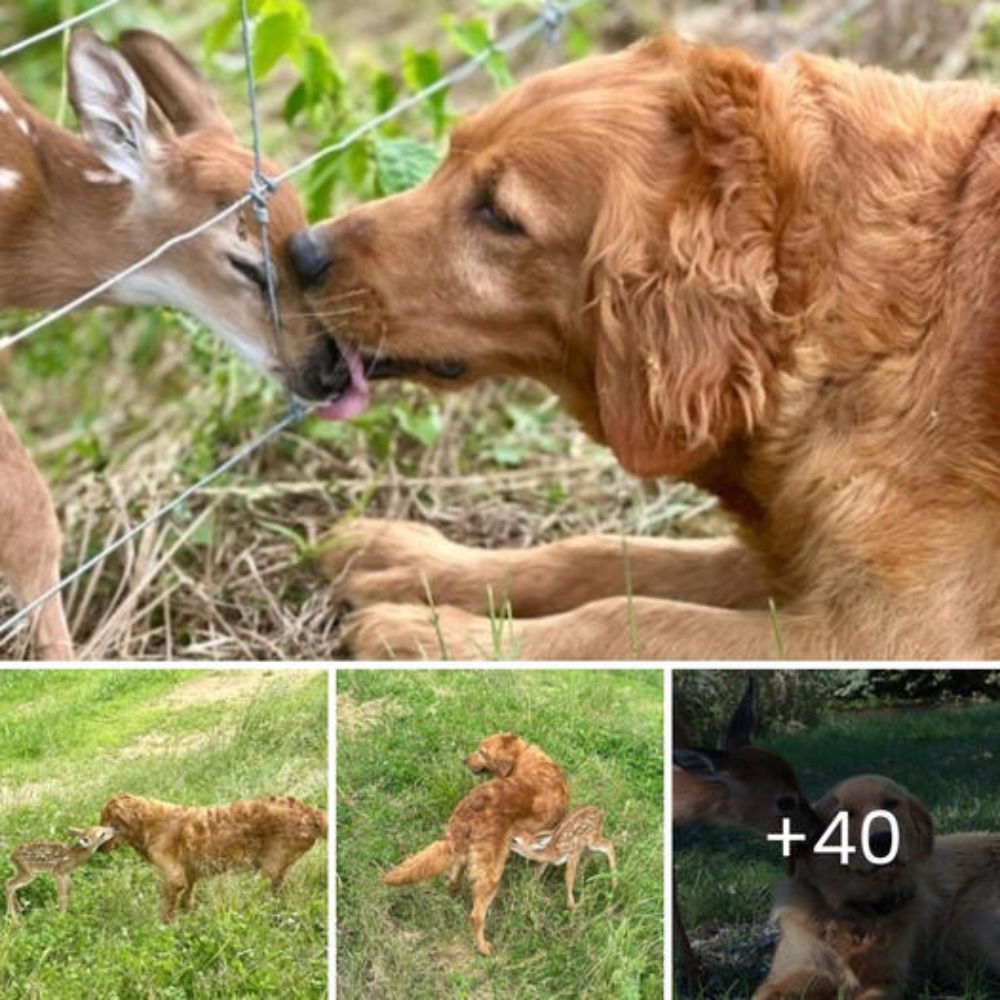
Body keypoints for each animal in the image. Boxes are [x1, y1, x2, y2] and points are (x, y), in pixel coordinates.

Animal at [97, 792, 326, 916]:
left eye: (106, 821)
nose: (98, 847)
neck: (149, 824)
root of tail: (311, 813)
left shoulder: (173, 878)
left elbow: (166, 908)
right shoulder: (189, 875)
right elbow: (186, 899)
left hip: (271, 867)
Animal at [290, 33, 1000, 656]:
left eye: (498, 213)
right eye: (447, 157)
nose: (301, 252)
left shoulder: (888, 630)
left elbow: (622, 618)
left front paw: (430, 635)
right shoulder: (793, 553)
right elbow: (596, 555)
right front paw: (416, 562)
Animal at [380, 736, 568, 952]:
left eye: (482, 751)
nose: (464, 760)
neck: (523, 757)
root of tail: (468, 810)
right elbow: (541, 866)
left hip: (464, 852)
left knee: (453, 878)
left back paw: (454, 894)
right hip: (490, 871)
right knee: (476, 915)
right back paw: (483, 947)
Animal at [756, 772, 1000, 1000]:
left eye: (891, 803)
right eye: (844, 815)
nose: (882, 839)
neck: (857, 913)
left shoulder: (887, 981)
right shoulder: (792, 976)